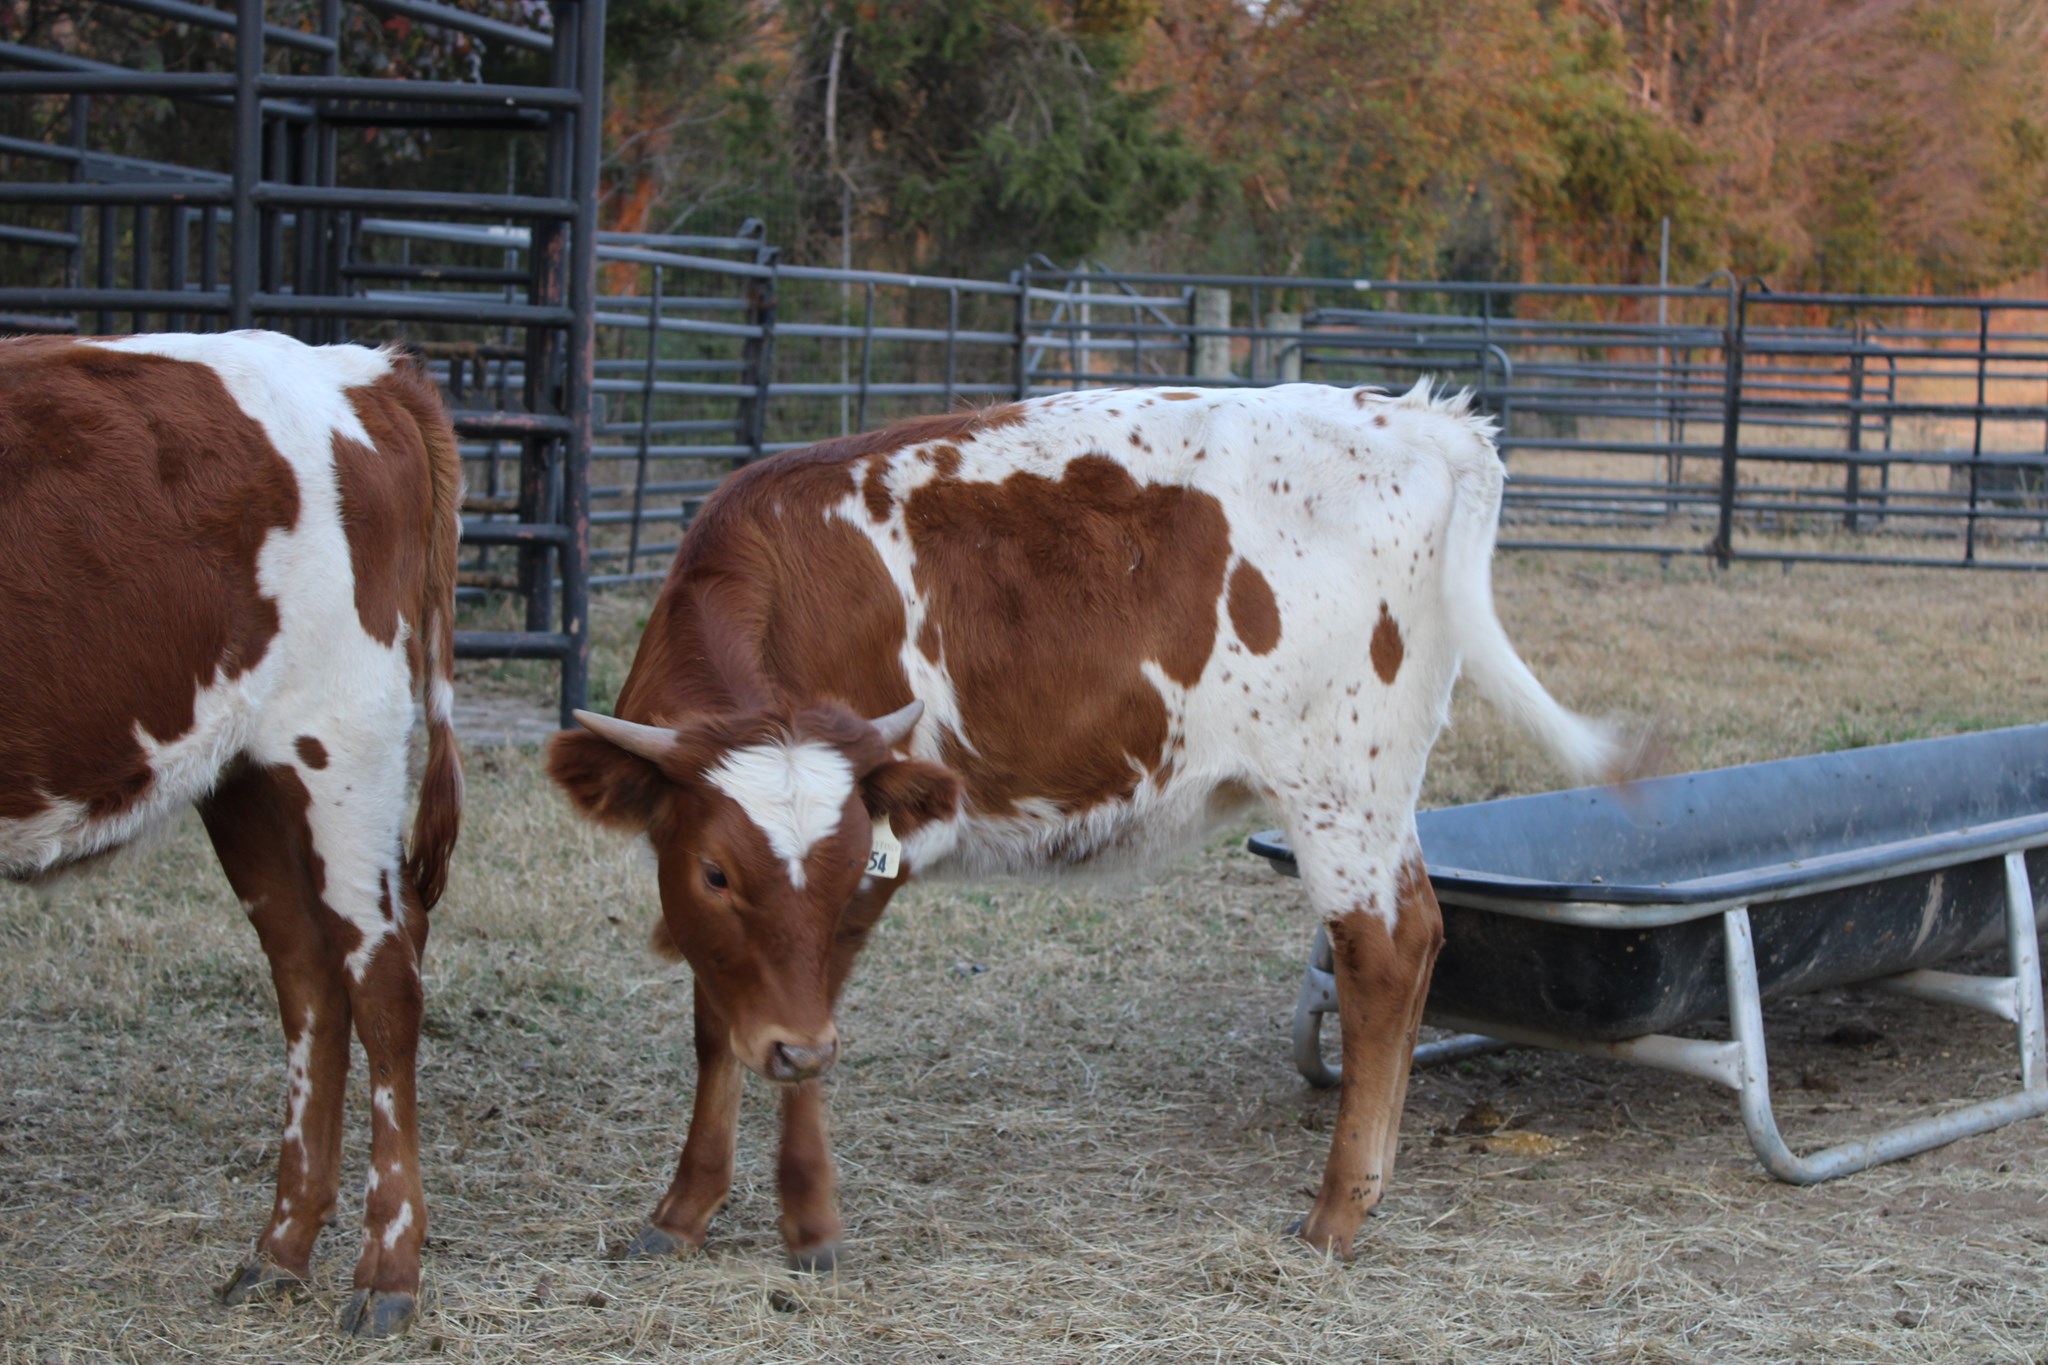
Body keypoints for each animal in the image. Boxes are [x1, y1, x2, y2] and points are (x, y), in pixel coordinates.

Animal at [0, 331, 464, 1337]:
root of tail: (362, 368)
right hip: (244, 775)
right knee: (308, 977)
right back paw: (279, 1250)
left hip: (341, 740)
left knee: (382, 977)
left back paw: (387, 1269)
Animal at [546, 380, 1627, 1271]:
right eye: (716, 873)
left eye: (849, 857)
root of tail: (1418, 418)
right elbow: (717, 1024)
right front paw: (686, 1209)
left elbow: (803, 1014)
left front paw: (808, 1222)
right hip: (1370, 792)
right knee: (1418, 940)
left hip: (1341, 785)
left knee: (1384, 952)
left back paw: (1337, 1212)